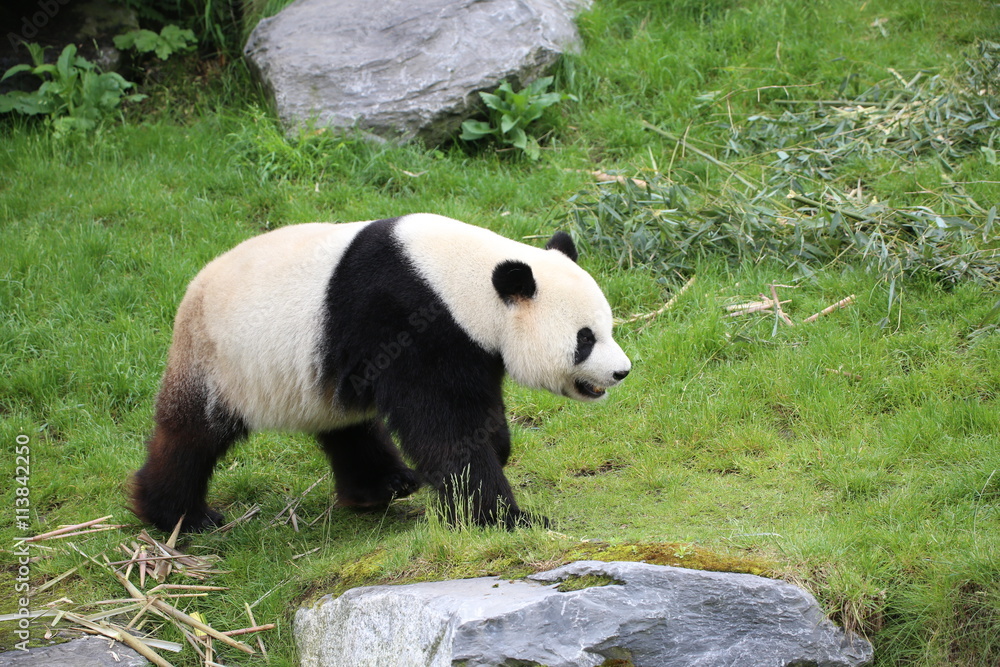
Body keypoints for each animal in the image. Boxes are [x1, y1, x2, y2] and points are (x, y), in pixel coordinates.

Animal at [132, 214, 631, 532]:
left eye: (607, 326)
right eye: (585, 339)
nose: (621, 372)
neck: (462, 279)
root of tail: (189, 294)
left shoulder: (469, 343)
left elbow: (480, 406)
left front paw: (500, 449)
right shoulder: (409, 321)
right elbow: (446, 426)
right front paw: (506, 518)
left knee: (348, 428)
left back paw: (384, 486)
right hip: (223, 361)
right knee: (193, 436)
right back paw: (179, 516)